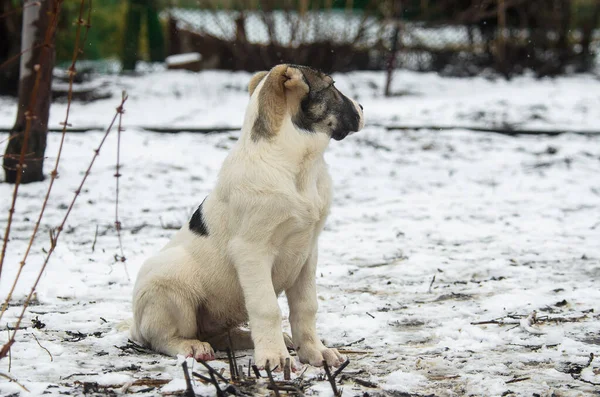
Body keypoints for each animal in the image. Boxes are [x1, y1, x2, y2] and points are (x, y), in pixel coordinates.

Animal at [131, 63, 364, 370]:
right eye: (332, 85)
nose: (362, 108)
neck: (297, 166)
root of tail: (134, 324)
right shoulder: (252, 251)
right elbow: (267, 308)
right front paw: (274, 358)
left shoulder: (308, 249)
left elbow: (306, 307)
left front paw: (315, 351)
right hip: (169, 277)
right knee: (162, 338)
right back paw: (192, 346)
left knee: (216, 334)